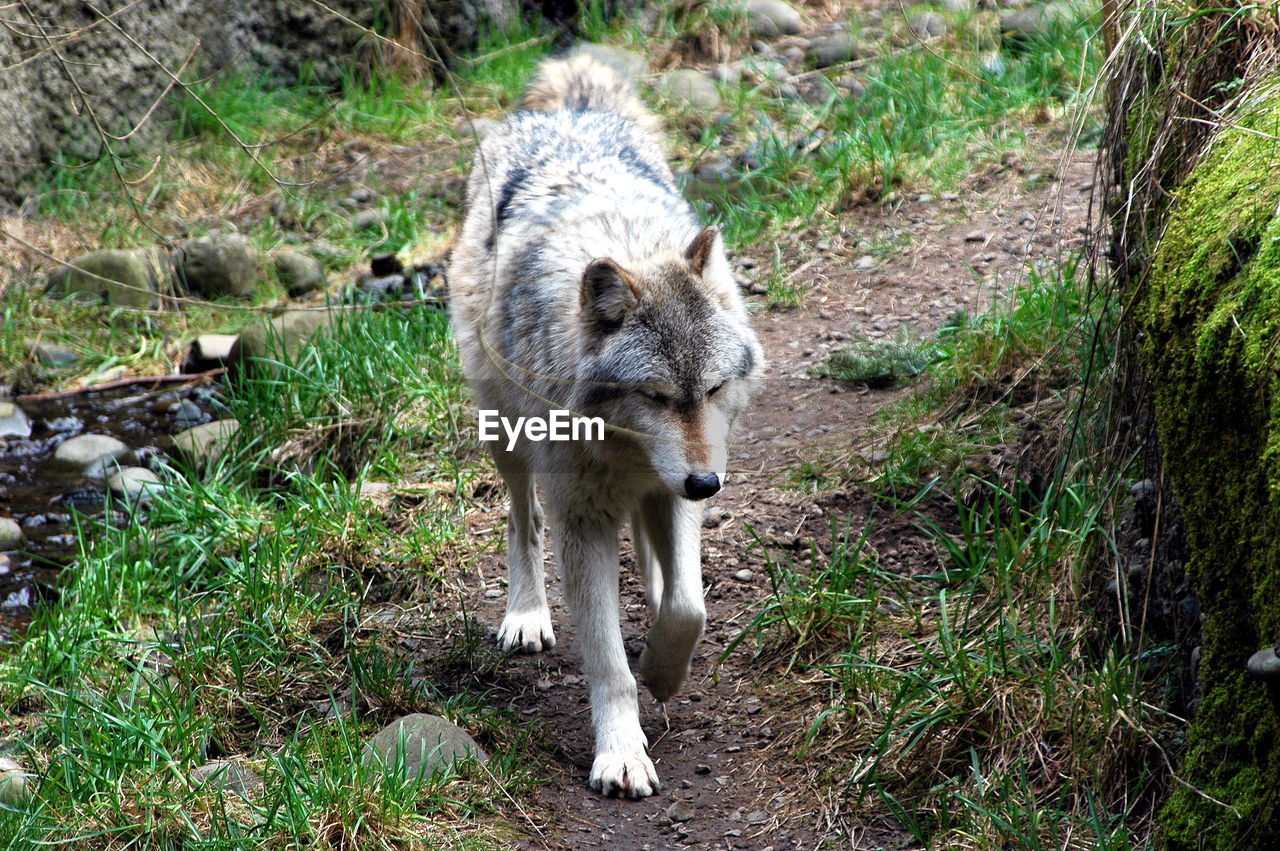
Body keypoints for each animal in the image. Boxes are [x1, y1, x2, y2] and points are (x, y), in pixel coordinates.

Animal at [450, 53, 762, 798]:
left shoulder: (679, 481)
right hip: (504, 436)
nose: (707, 485)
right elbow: (608, 663)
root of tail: (571, 109)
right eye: (654, 395)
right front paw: (621, 753)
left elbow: (688, 607)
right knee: (522, 519)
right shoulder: (584, 517)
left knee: (658, 562)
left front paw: (664, 670)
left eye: (711, 389)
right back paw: (526, 615)